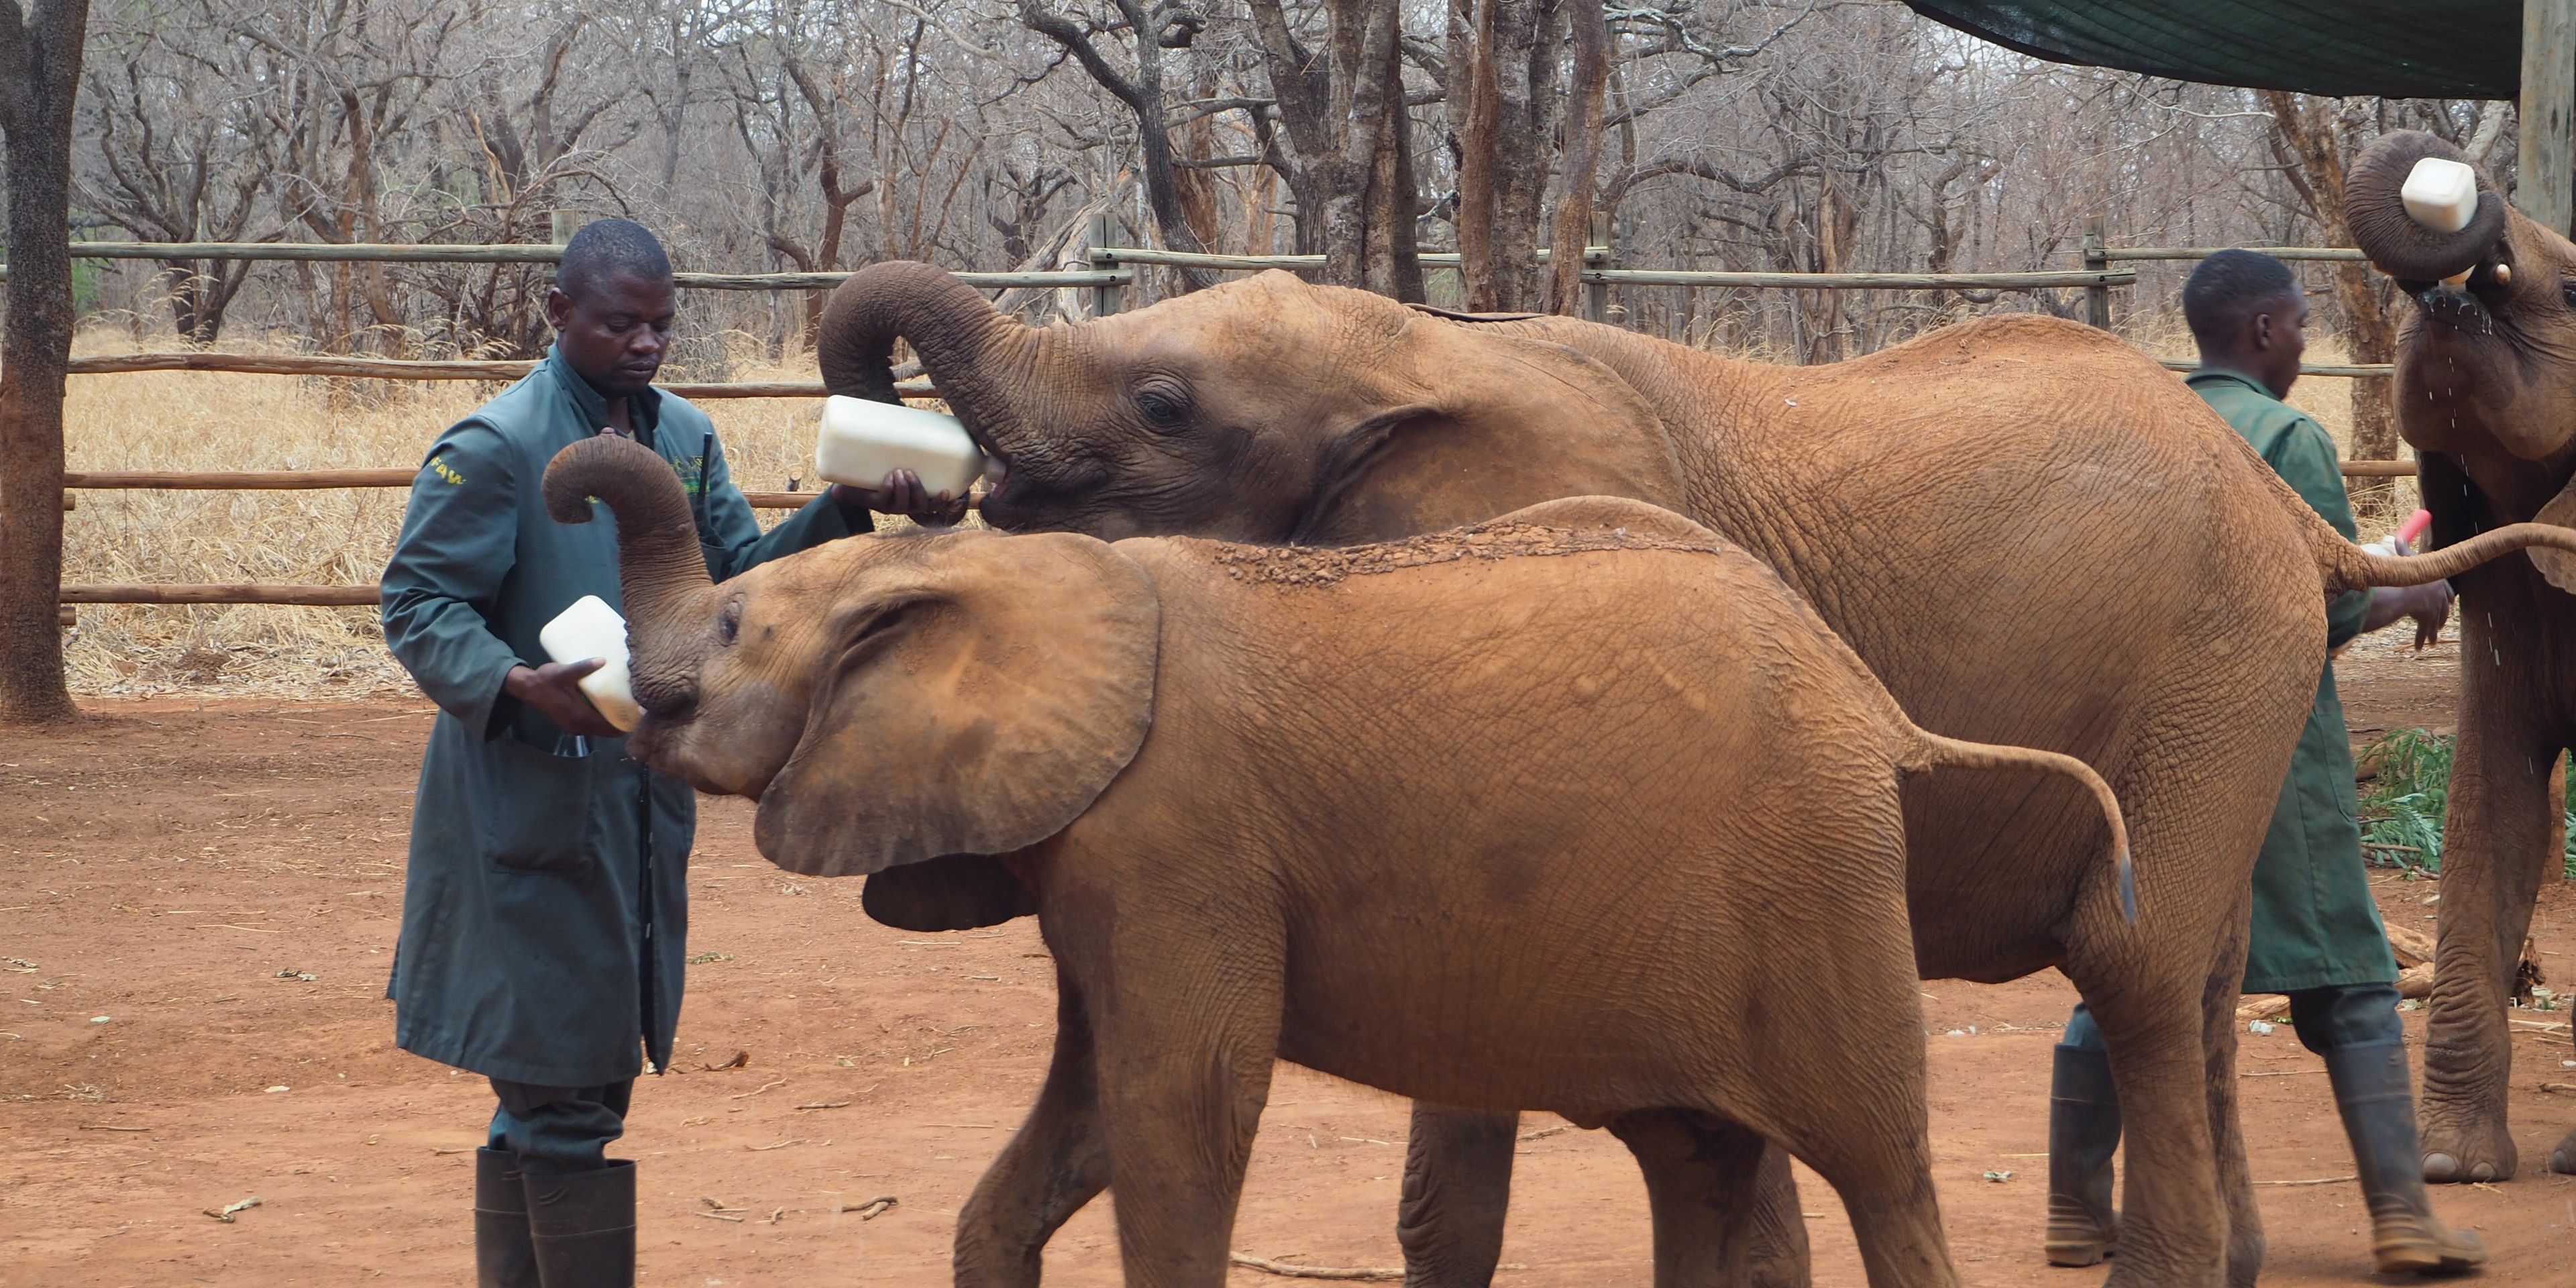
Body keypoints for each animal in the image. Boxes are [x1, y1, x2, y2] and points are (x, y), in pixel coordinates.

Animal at [542, 430, 2139, 1288]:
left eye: (731, 631)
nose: (560, 496)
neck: (1019, 579)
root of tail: (1873, 704)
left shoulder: (1178, 841)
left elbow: (1180, 1112)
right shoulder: (1103, 862)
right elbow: (1081, 1126)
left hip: (1816, 882)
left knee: (1882, 1169)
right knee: (1697, 1158)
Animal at [803, 258, 2576, 1288]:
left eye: (1165, 405)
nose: (909, 482)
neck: (1424, 348)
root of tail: (2288, 511)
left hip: (2218, 659)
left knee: (2134, 968)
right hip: (2234, 684)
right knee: (2198, 982)